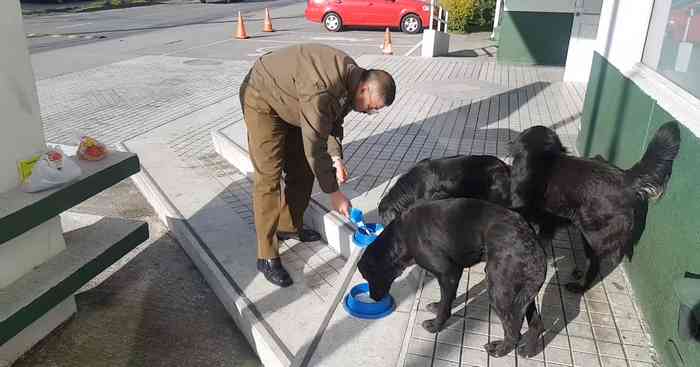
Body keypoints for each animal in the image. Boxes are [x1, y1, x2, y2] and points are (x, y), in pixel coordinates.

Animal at [360, 200, 548, 358]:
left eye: (368, 276)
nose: (373, 298)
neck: (402, 237)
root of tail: (531, 239)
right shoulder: (451, 275)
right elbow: (446, 299)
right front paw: (437, 306)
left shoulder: (449, 273)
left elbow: (445, 305)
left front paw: (436, 326)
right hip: (520, 291)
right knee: (536, 323)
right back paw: (530, 351)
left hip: (498, 289)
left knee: (514, 332)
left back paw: (500, 350)